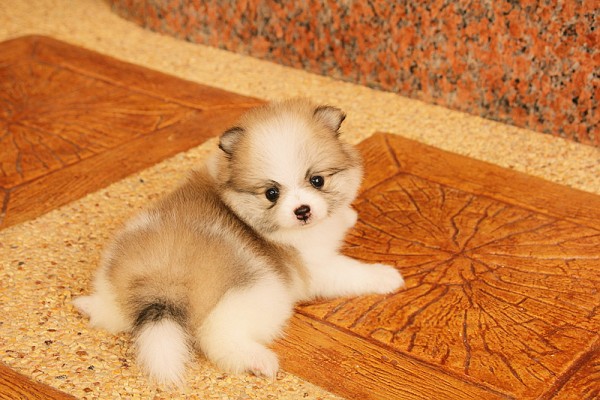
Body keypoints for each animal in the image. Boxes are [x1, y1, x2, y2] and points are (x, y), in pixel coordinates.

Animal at [73, 98, 404, 385]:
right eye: (272, 193)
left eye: (317, 180)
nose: (303, 211)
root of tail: (162, 278)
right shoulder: (316, 266)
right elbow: (351, 271)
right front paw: (386, 275)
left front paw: (347, 215)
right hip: (260, 291)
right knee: (216, 336)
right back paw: (258, 360)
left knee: (114, 315)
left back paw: (88, 306)